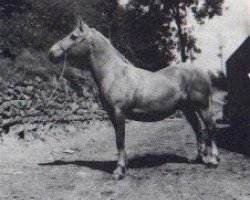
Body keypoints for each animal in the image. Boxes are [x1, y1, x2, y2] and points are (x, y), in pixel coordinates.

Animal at [48, 16, 219, 180]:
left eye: (73, 36)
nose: (51, 52)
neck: (114, 74)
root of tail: (204, 72)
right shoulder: (112, 115)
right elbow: (119, 140)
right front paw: (124, 165)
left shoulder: (119, 113)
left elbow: (120, 140)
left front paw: (119, 171)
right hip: (187, 109)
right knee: (198, 129)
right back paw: (199, 158)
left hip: (202, 106)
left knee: (209, 127)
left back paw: (212, 160)